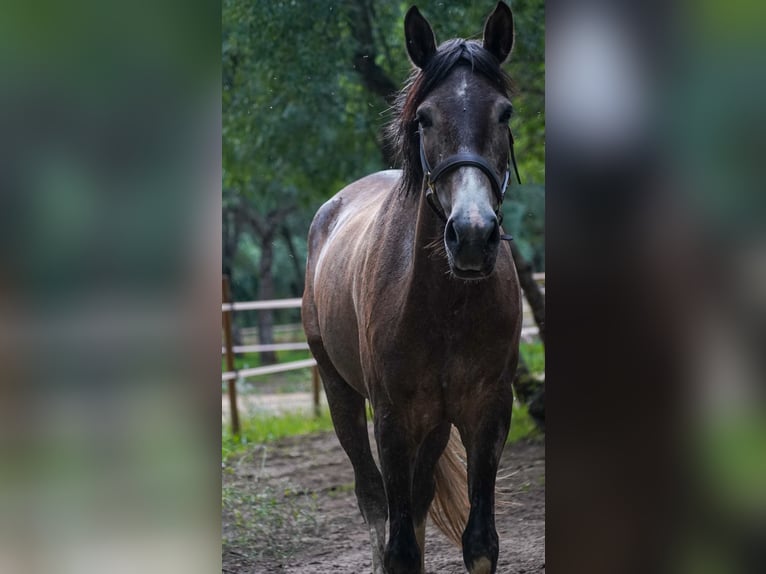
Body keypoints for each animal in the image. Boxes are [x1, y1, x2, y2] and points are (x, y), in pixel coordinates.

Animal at [304, 5, 524, 574]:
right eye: (424, 118)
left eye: (505, 114)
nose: (472, 236)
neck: (444, 306)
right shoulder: (393, 420)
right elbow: (398, 541)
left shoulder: (487, 413)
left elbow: (480, 541)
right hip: (340, 394)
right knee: (373, 500)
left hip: (435, 424)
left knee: (421, 497)